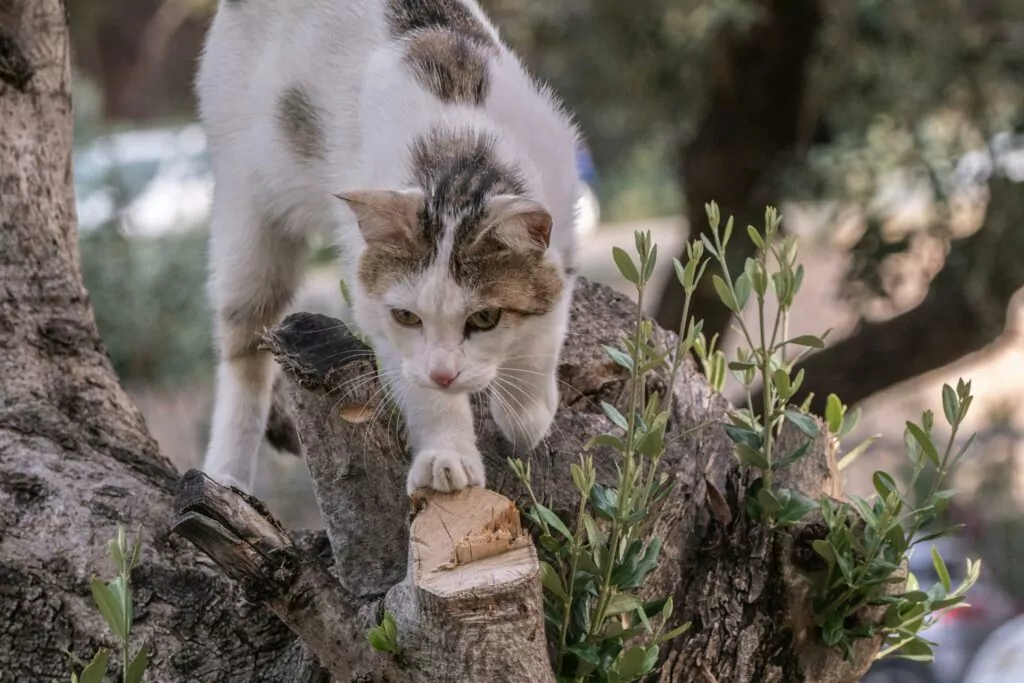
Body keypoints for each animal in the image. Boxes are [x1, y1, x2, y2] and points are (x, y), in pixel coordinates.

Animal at [191, 0, 577, 493]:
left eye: (484, 318)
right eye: (407, 317)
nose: (443, 373)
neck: (457, 152)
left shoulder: (564, 222)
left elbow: (544, 328)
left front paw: (527, 415)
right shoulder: (378, 311)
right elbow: (421, 387)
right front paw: (446, 454)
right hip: (249, 213)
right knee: (244, 350)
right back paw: (226, 474)